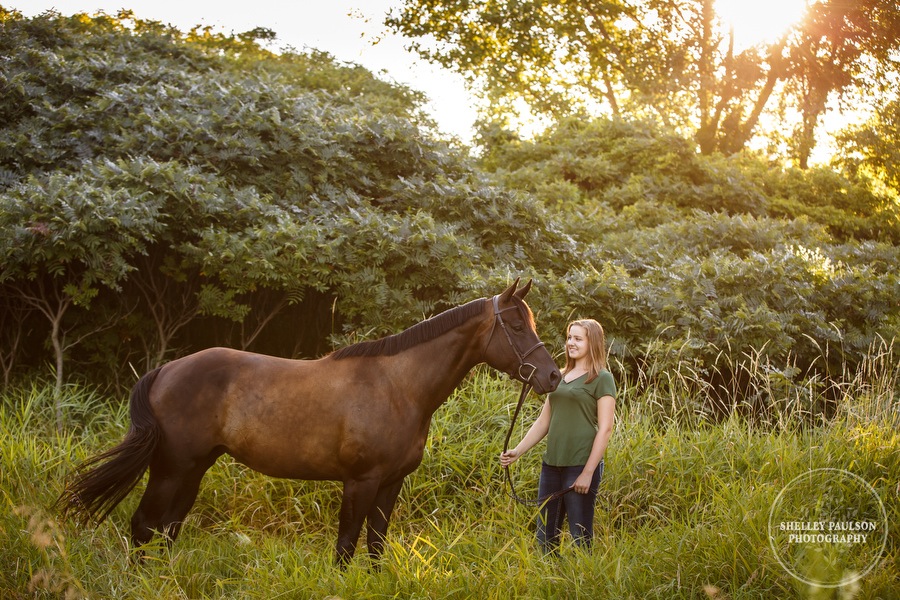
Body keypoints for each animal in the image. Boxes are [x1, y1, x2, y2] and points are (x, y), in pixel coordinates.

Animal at [56, 278, 560, 564]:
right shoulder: (360, 481)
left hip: (193, 469)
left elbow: (375, 546)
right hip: (171, 468)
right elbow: (346, 547)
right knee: (144, 526)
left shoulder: (391, 483)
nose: (552, 375)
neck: (399, 386)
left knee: (166, 529)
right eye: (517, 326)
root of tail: (166, 370)